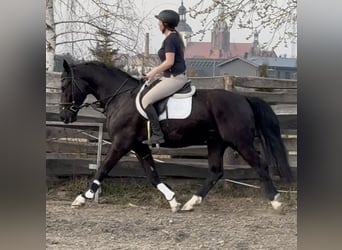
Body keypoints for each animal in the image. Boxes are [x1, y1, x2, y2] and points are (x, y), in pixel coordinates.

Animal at [60, 60, 292, 211]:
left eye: (65, 84)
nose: (64, 116)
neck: (120, 97)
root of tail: (243, 98)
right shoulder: (139, 145)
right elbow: (152, 175)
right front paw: (173, 200)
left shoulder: (122, 142)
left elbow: (103, 169)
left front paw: (82, 198)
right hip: (216, 142)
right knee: (215, 172)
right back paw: (191, 203)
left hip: (240, 141)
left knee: (260, 165)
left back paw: (276, 201)